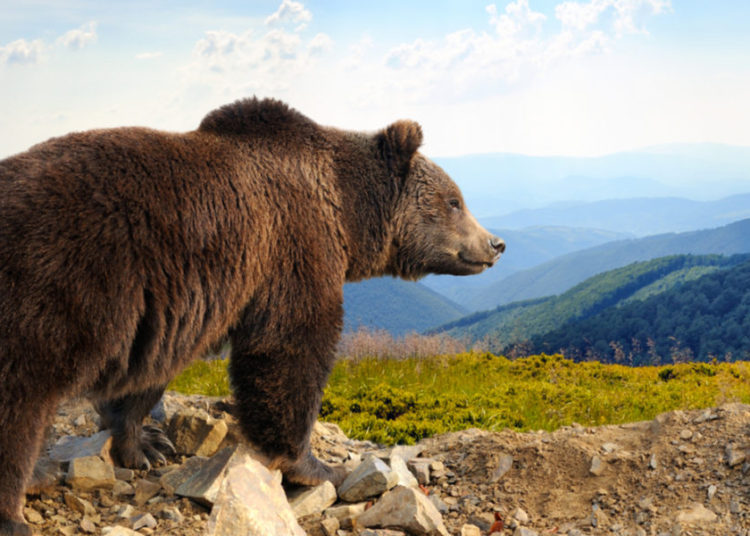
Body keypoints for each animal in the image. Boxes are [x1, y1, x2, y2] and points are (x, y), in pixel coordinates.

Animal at [0, 98, 504, 535]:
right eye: (454, 200)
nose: (495, 244)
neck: (346, 212)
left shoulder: (172, 303)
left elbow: (150, 373)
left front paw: (146, 445)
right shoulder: (291, 246)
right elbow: (291, 348)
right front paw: (316, 466)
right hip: (54, 286)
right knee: (20, 404)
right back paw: (17, 508)